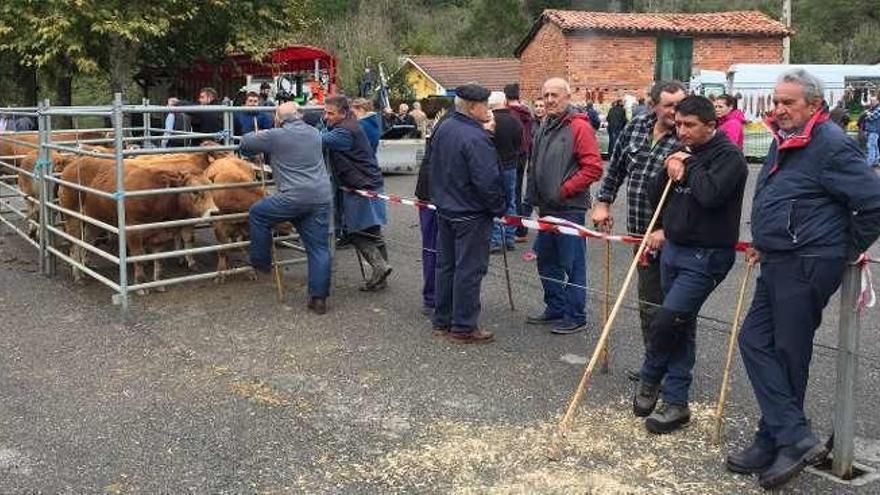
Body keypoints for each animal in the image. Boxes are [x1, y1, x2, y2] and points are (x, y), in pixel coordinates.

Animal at [58, 157, 218, 290]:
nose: (214, 212)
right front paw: (141, 284)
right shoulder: (133, 232)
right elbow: (139, 257)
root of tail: (73, 163)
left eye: (212, 188)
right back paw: (78, 275)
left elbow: (158, 260)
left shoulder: (160, 235)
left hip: (95, 220)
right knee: (74, 245)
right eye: (195, 191)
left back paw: (86, 265)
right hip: (72, 216)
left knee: (87, 241)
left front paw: (158, 283)